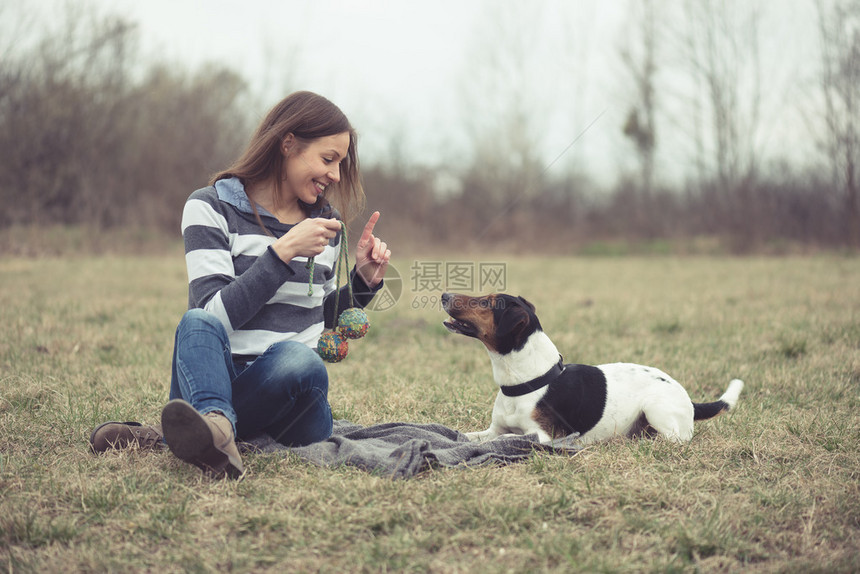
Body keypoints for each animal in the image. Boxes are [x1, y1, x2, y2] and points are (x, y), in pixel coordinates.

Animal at [440, 294, 744, 448]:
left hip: (656, 410)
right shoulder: (493, 428)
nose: (444, 294)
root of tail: (688, 398)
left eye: (486, 302)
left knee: (678, 439)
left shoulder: (545, 436)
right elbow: (470, 436)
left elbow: (510, 438)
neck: (528, 382)